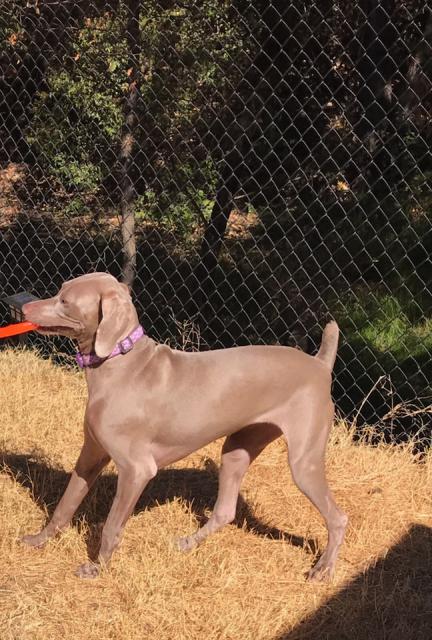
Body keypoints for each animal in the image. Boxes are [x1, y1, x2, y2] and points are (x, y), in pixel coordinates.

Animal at [22, 272, 348, 580]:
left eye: (66, 302)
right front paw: (39, 540)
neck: (119, 362)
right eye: (60, 290)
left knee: (338, 517)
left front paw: (97, 569)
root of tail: (320, 364)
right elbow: (65, 504)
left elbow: (112, 525)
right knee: (225, 510)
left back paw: (323, 569)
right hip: (238, 448)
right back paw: (189, 542)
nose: (25, 307)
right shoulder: (91, 454)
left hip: (304, 462)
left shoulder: (137, 470)